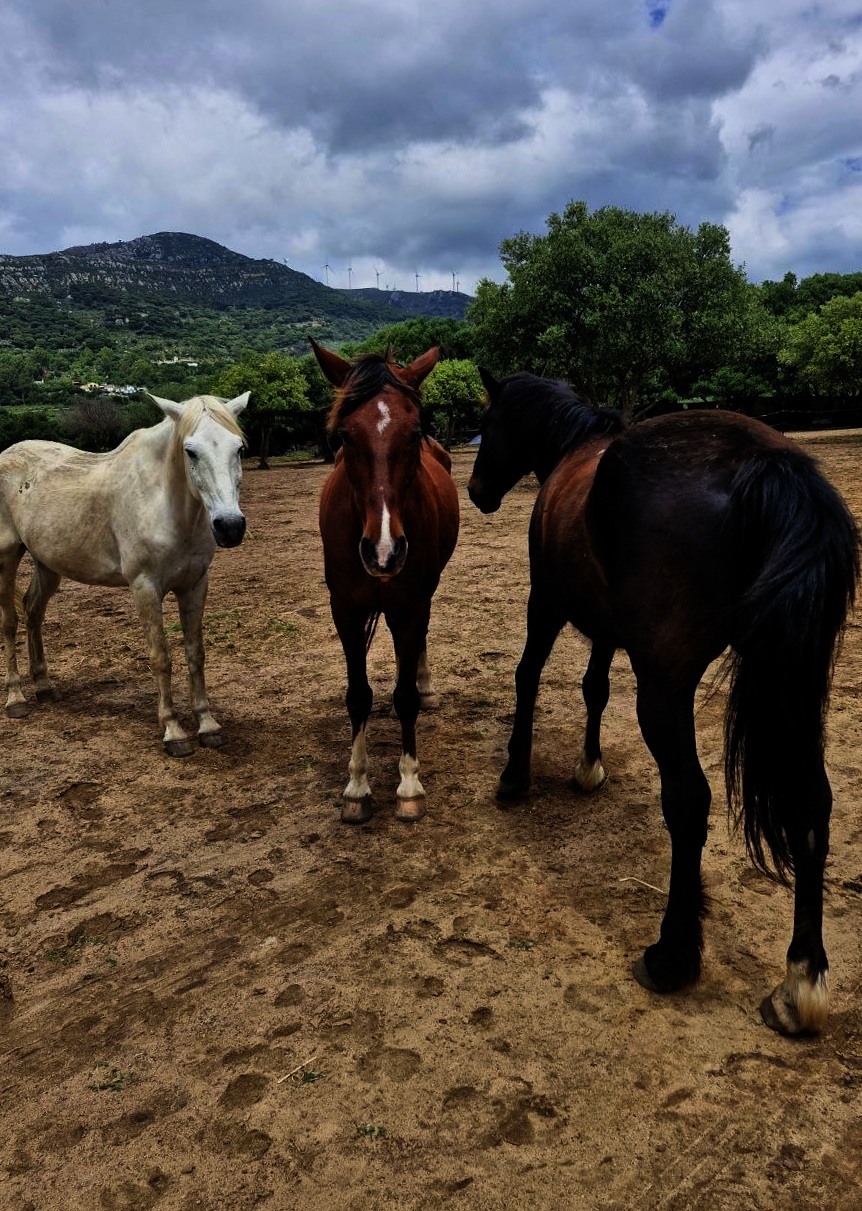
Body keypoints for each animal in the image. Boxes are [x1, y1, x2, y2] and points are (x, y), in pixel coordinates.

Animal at [0, 391, 249, 756]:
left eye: (239, 448)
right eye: (190, 450)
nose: (230, 527)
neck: (165, 505)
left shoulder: (194, 585)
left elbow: (195, 653)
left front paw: (207, 725)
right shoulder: (145, 587)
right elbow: (161, 656)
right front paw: (174, 731)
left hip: (48, 564)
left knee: (33, 611)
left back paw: (44, 686)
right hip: (6, 557)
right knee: (9, 622)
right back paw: (16, 698)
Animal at [312, 339, 460, 823]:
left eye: (414, 433)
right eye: (343, 436)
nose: (383, 551)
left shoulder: (412, 603)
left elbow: (405, 696)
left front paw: (409, 784)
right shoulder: (345, 609)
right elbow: (358, 695)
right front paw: (357, 787)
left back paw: (425, 685)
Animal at [468, 369, 859, 1034]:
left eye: (488, 424)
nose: (474, 490)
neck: (573, 450)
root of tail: (765, 462)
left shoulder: (546, 603)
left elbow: (527, 676)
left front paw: (515, 775)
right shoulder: (605, 629)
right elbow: (594, 687)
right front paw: (588, 766)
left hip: (664, 688)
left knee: (689, 801)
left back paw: (671, 955)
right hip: (790, 687)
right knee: (812, 802)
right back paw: (802, 980)